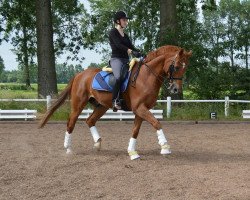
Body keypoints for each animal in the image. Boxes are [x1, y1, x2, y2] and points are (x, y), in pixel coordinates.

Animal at [38, 45, 191, 159]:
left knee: (90, 120)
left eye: (185, 68)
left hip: (101, 106)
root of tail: (79, 74)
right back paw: (68, 148)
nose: (176, 89)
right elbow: (156, 123)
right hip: (78, 105)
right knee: (71, 122)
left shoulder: (141, 110)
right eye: (177, 66)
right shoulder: (139, 108)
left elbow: (135, 130)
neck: (146, 76)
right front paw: (165, 147)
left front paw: (132, 152)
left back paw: (97, 143)